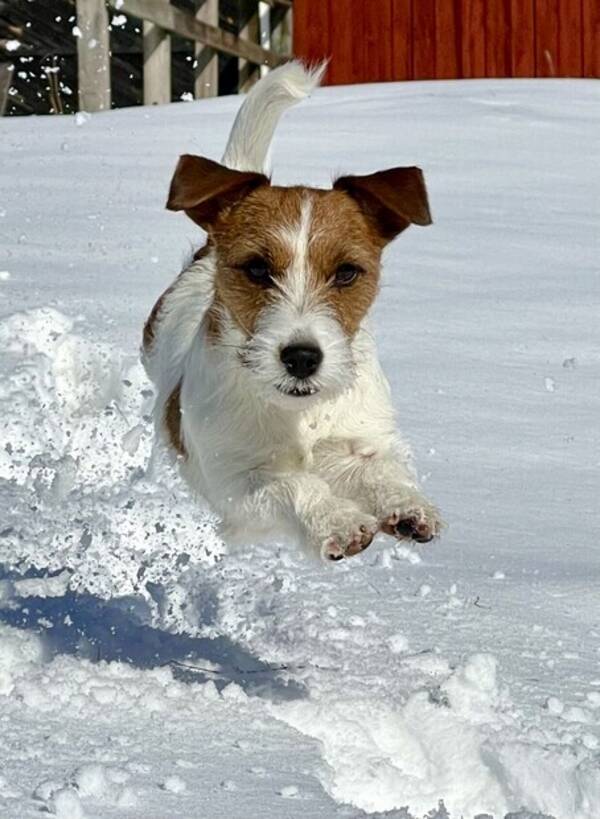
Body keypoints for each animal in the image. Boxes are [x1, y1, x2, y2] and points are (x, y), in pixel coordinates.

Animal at [141, 60, 440, 560]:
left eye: (346, 273)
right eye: (257, 269)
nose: (302, 358)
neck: (299, 414)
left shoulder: (357, 442)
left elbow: (381, 470)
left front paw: (406, 504)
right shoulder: (237, 483)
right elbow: (295, 485)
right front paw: (338, 520)